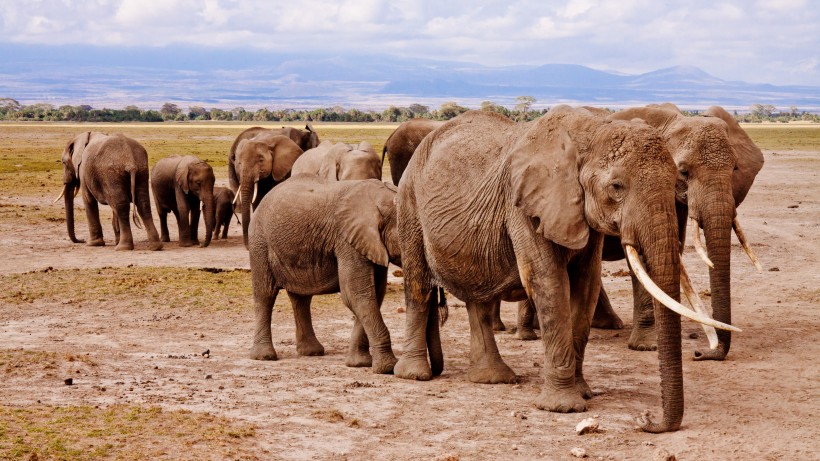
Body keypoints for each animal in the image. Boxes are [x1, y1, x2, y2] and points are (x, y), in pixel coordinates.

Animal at [250, 174, 404, 372]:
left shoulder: (370, 243)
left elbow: (373, 294)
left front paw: (358, 364)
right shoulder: (347, 241)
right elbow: (356, 294)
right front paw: (387, 368)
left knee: (301, 298)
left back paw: (311, 352)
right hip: (259, 241)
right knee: (265, 294)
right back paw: (264, 356)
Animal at [390, 107, 736, 432]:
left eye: (677, 180)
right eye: (616, 186)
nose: (647, 420)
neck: (590, 132)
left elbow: (586, 286)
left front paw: (583, 393)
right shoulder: (524, 206)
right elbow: (549, 283)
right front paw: (563, 407)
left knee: (479, 298)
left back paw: (492, 378)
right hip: (409, 205)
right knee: (419, 286)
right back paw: (415, 374)